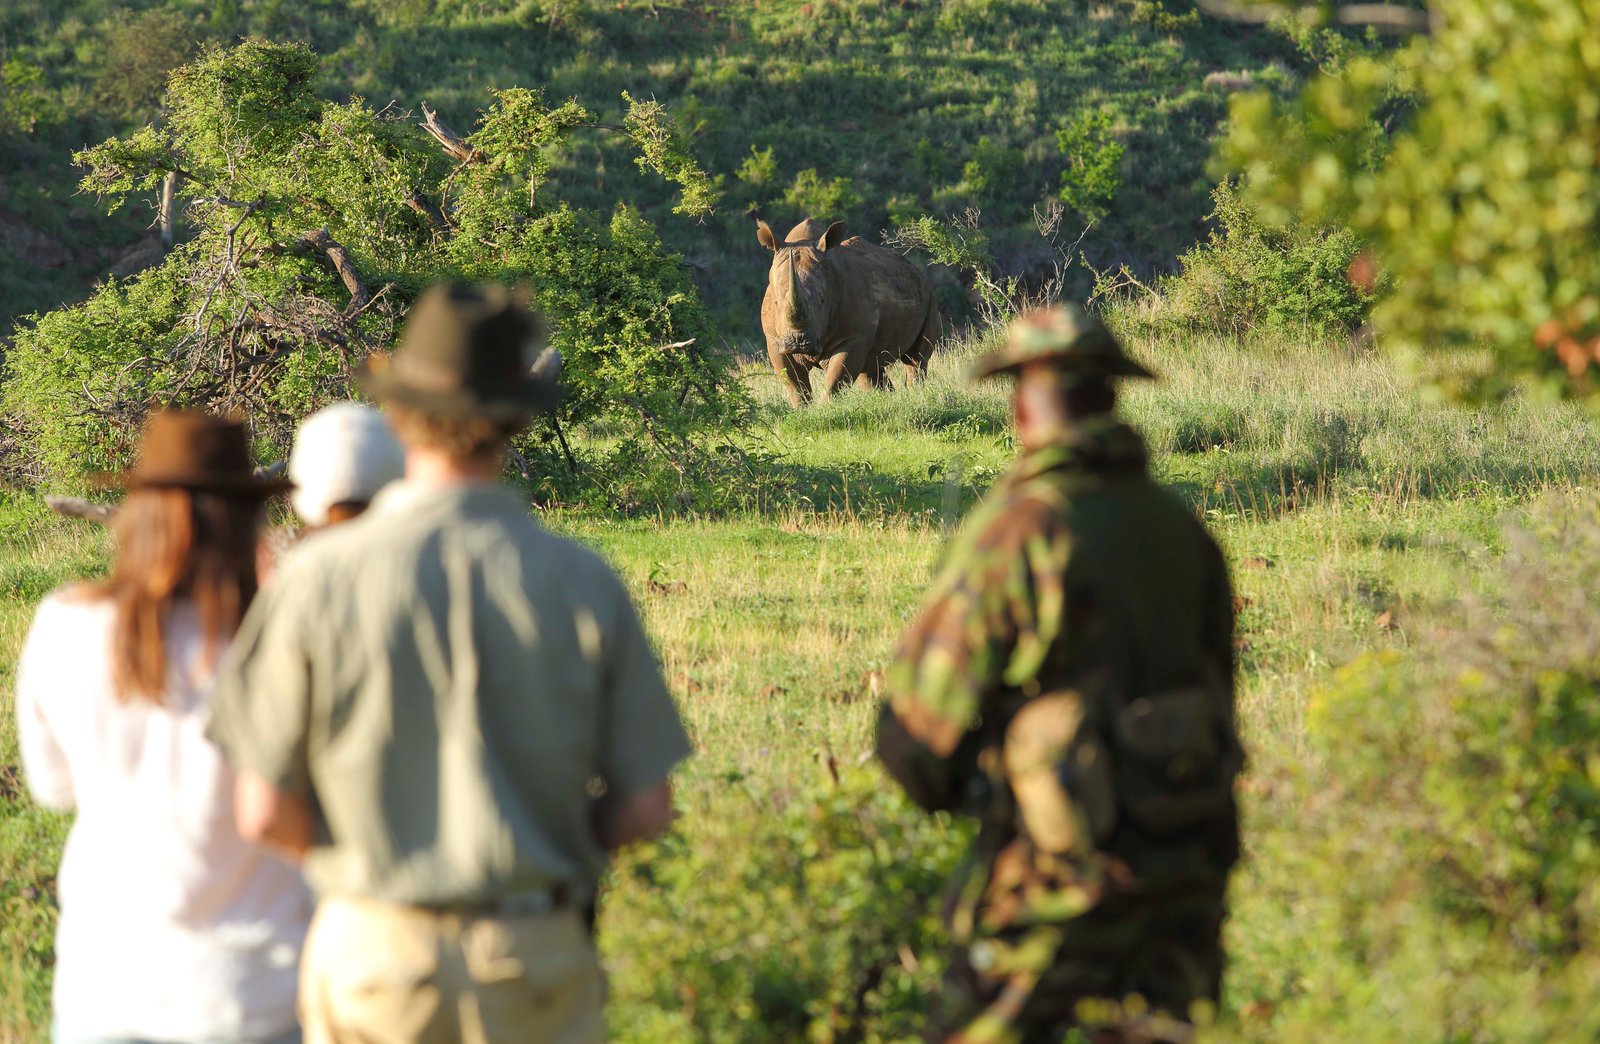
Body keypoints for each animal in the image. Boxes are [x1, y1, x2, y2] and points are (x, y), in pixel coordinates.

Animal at [757, 217, 942, 406]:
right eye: (776, 302)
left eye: (822, 300)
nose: (799, 343)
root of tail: (916, 269)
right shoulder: (775, 339)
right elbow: (793, 382)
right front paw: (802, 409)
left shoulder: (853, 337)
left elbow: (836, 378)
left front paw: (825, 408)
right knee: (870, 367)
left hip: (929, 295)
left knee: (915, 358)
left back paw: (914, 395)